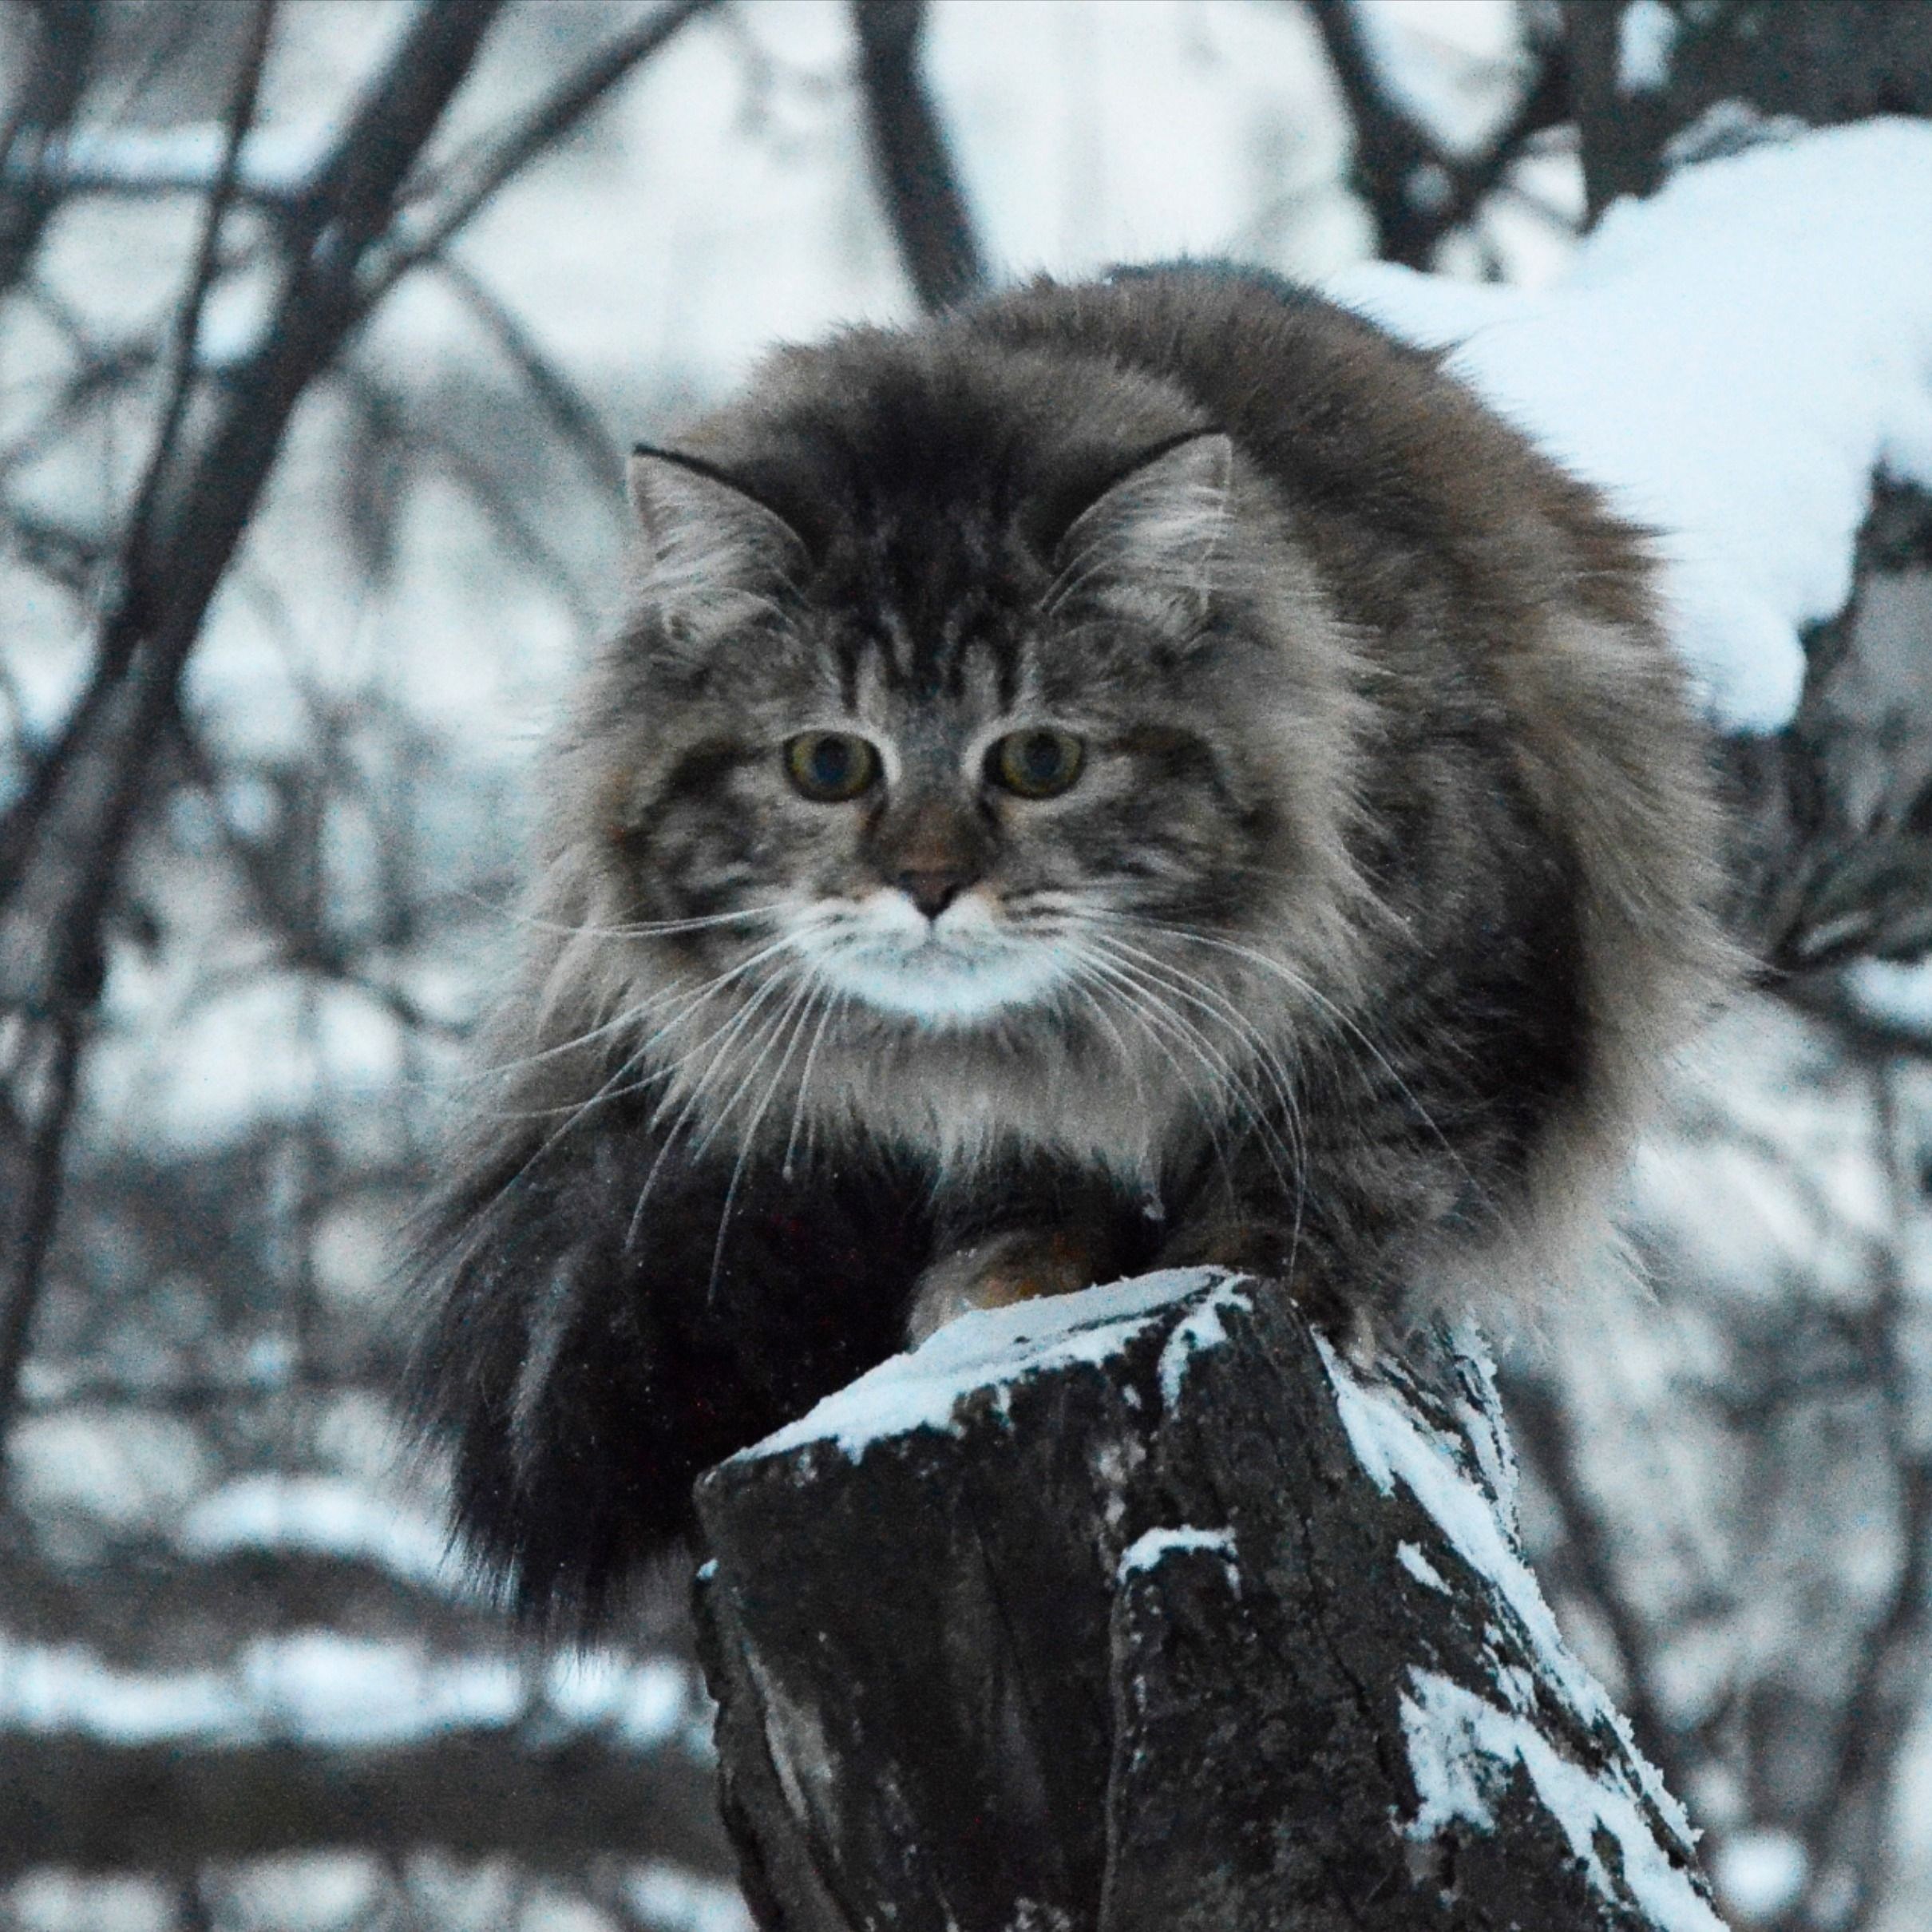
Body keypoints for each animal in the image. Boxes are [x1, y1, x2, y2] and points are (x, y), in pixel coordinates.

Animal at [403, 264, 1723, 1638]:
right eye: (828, 765)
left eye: (1040, 761)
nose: (929, 884)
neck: (1055, 1043)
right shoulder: (990, 1108)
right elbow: (1022, 1180)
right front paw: (1007, 1276)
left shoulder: (1456, 962)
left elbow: (1345, 1151)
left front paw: (1261, 1269)